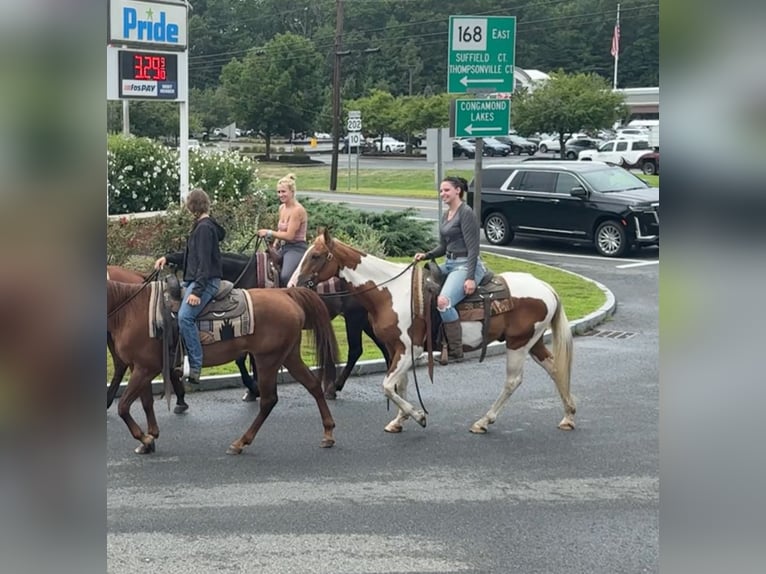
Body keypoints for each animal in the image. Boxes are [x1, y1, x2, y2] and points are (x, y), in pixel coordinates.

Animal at [107, 282, 340, 456]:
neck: (131, 310)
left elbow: (124, 406)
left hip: (268, 359)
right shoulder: (139, 367)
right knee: (312, 385)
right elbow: (146, 402)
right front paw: (150, 438)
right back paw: (328, 433)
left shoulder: (145, 368)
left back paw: (240, 442)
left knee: (268, 400)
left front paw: (145, 438)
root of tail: (286, 294)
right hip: (289, 356)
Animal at [296, 230, 580, 436]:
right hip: (533, 342)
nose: (294, 283)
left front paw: (418, 415)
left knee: (513, 381)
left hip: (518, 344)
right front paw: (399, 420)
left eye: (316, 255)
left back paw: (483, 421)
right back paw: (568, 415)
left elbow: (387, 385)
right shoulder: (398, 349)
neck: (390, 291)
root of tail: (545, 287)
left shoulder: (412, 349)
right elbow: (399, 384)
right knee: (555, 368)